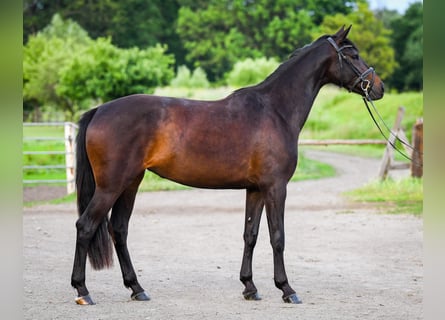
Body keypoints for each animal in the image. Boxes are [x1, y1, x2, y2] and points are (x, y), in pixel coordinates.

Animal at [71, 26, 384, 304]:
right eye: (353, 55)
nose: (379, 87)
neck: (275, 110)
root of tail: (100, 110)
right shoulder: (276, 187)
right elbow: (278, 237)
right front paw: (287, 289)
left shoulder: (255, 189)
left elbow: (250, 235)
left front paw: (250, 287)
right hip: (111, 186)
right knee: (86, 226)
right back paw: (83, 291)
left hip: (131, 183)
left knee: (119, 230)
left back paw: (137, 289)